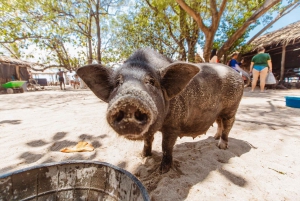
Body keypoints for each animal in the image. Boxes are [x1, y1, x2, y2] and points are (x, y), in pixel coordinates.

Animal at [77, 48, 244, 173]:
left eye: (151, 82)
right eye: (118, 82)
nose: (129, 101)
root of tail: (237, 75)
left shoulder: (173, 125)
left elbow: (166, 146)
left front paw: (163, 170)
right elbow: (148, 140)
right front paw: (144, 155)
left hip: (232, 107)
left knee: (228, 125)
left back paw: (221, 146)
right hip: (219, 112)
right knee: (219, 122)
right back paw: (215, 138)